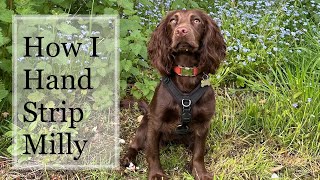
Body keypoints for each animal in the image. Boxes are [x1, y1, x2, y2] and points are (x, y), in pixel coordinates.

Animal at [122, 10, 225, 180]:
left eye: (197, 20)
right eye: (172, 21)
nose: (181, 31)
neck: (186, 73)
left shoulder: (203, 124)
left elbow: (199, 153)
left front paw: (200, 172)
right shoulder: (155, 122)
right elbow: (152, 152)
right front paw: (156, 173)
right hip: (144, 125)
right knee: (135, 144)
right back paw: (127, 158)